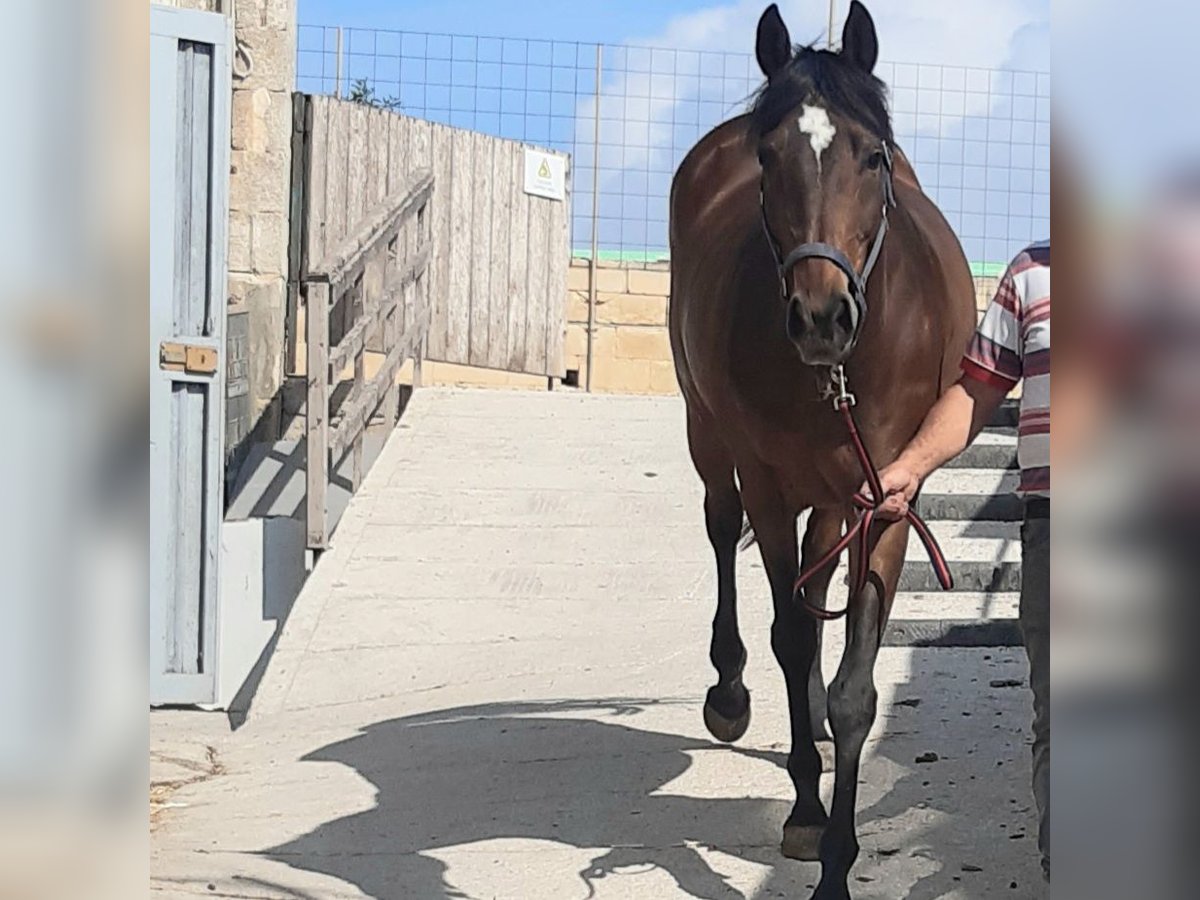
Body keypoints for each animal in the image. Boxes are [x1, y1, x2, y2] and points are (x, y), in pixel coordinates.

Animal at [667, 3, 974, 897]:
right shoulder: (769, 483)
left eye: (873, 156)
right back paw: (731, 694)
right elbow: (793, 638)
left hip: (839, 496)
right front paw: (808, 816)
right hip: (707, 433)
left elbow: (852, 689)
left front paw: (838, 858)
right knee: (724, 535)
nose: (820, 316)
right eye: (767, 159)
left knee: (813, 579)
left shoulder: (889, 497)